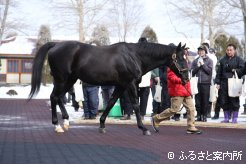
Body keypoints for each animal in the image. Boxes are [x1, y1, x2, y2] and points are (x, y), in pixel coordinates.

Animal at [28, 40, 188, 135]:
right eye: (180, 58)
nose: (186, 78)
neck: (134, 56)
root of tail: (55, 44)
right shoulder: (130, 84)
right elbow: (135, 105)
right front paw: (143, 128)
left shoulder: (120, 85)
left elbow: (111, 102)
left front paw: (102, 125)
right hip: (62, 79)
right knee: (54, 97)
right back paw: (57, 125)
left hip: (69, 80)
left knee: (58, 97)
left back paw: (66, 123)